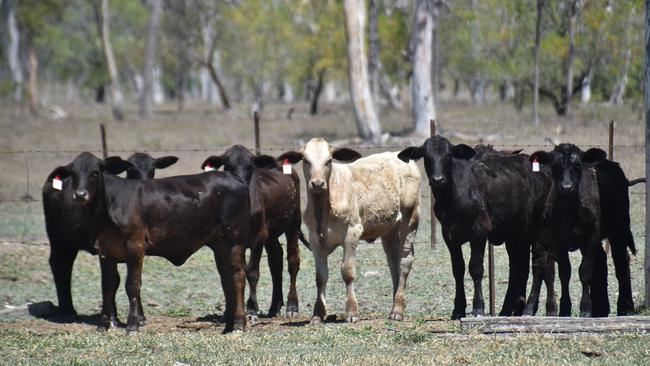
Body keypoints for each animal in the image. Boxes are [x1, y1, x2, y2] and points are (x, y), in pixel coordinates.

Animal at [42, 152, 177, 320]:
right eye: (131, 170)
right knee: (60, 265)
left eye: (153, 170)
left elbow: (126, 280)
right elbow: (116, 280)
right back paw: (67, 310)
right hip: (58, 237)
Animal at [201, 144, 306, 322]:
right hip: (271, 234)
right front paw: (233, 311)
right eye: (228, 166)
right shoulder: (232, 240)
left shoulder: (259, 236)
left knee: (293, 261)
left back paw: (292, 307)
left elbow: (252, 272)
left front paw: (251, 310)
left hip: (294, 223)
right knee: (275, 262)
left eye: (250, 167)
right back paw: (274, 307)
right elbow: (235, 273)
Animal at [278, 138, 420, 324]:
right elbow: (320, 276)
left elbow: (348, 271)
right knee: (393, 261)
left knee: (404, 262)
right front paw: (318, 314)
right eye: (306, 160)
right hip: (389, 228)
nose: (317, 183)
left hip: (410, 219)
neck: (324, 208)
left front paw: (352, 312)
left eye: (329, 160)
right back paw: (395, 305)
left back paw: (398, 311)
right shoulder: (315, 239)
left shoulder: (352, 233)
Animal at [394, 136, 552, 318]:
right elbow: (458, 269)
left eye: (448, 156)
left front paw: (478, 307)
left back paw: (529, 308)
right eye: (426, 156)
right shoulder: (448, 235)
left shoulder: (479, 231)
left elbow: (475, 268)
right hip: (516, 234)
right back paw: (509, 310)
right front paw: (458, 309)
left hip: (540, 230)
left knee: (538, 266)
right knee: (518, 268)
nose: (438, 179)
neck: (452, 199)